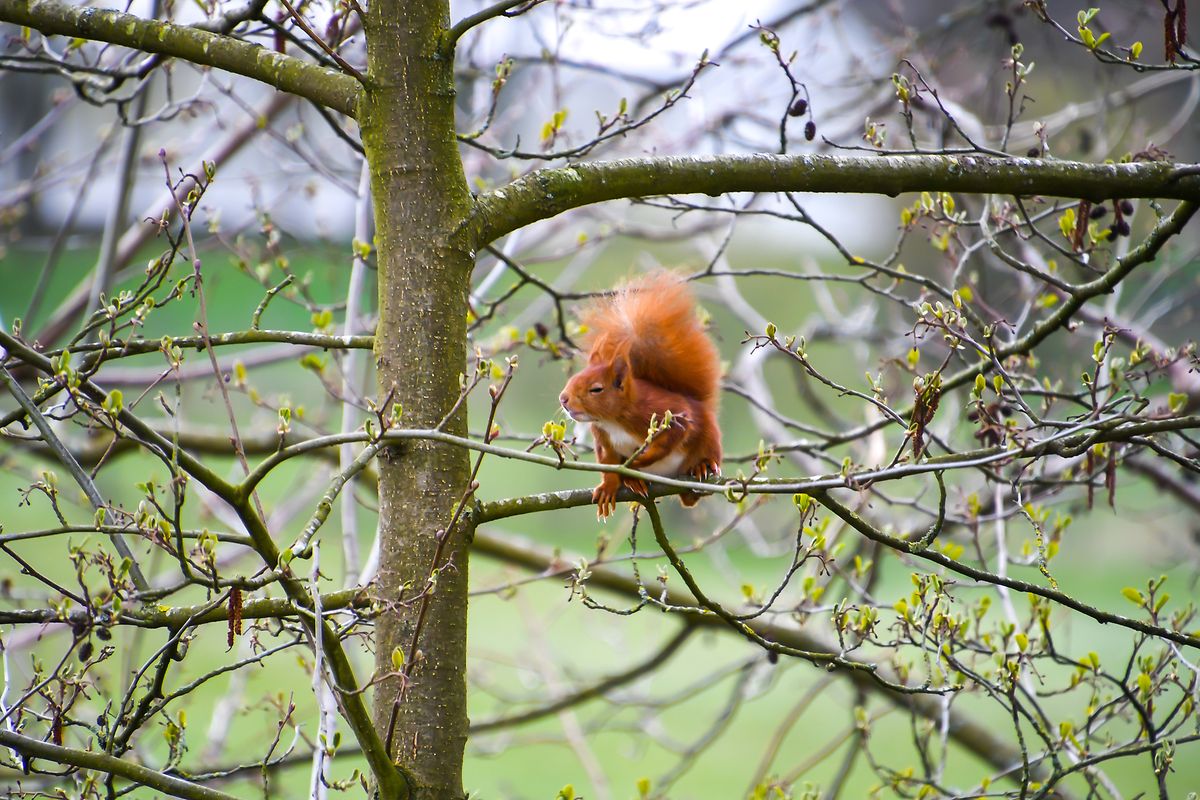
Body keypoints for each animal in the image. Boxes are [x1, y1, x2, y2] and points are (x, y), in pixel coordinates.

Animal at [558, 272, 722, 518]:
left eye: (596, 389)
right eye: (572, 379)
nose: (564, 399)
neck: (614, 419)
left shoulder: (665, 413)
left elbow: (669, 440)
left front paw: (635, 465)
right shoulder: (603, 439)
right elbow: (608, 465)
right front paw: (609, 486)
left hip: (709, 439)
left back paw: (701, 466)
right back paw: (635, 483)